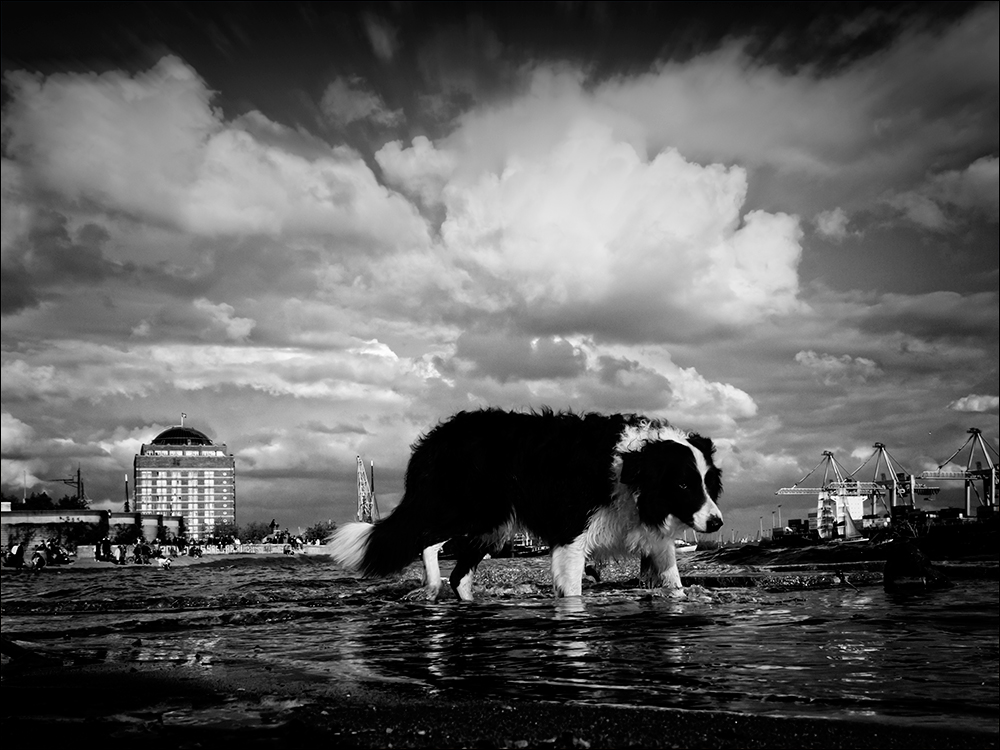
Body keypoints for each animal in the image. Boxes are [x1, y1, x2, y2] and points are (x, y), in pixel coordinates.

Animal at [332, 408, 724, 604]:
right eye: (683, 484)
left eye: (708, 483)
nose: (717, 522)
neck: (632, 466)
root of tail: (436, 438)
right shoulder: (571, 535)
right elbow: (573, 589)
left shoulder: (655, 539)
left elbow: (673, 580)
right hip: (469, 509)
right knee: (425, 539)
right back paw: (430, 586)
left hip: (491, 523)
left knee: (458, 572)